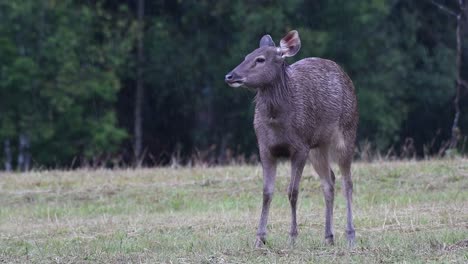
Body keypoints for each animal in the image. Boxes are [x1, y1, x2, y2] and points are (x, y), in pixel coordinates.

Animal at [226, 30, 358, 248]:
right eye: (246, 56)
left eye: (260, 59)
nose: (230, 76)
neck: (278, 122)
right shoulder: (265, 148)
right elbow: (267, 192)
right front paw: (260, 238)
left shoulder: (300, 147)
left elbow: (292, 191)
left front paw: (293, 237)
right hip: (318, 147)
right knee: (329, 181)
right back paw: (328, 236)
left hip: (347, 132)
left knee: (347, 182)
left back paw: (350, 235)